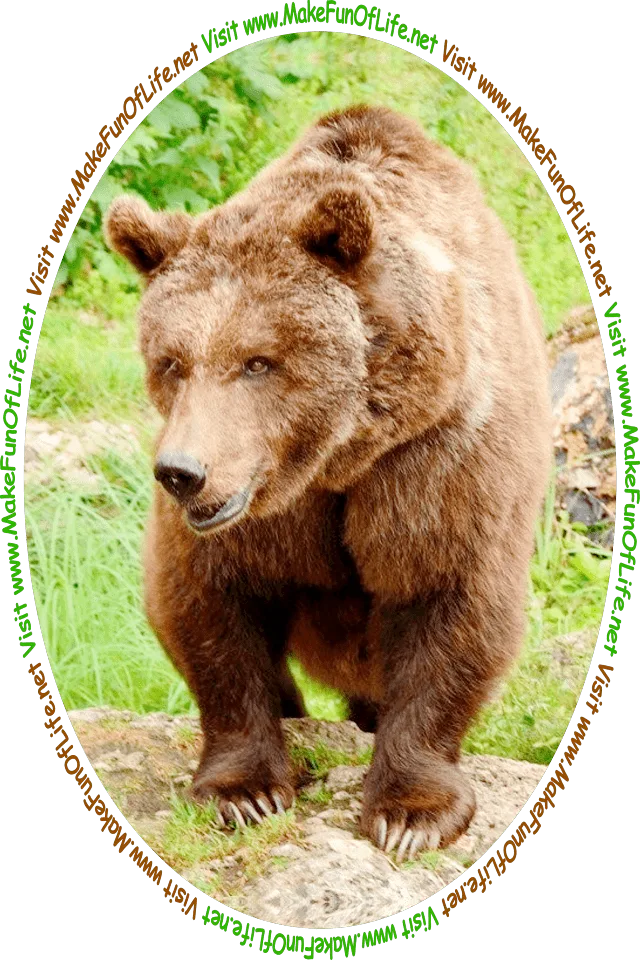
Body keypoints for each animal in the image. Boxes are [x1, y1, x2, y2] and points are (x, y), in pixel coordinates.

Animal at [105, 105, 551, 861]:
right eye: (171, 361)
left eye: (258, 361)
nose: (182, 472)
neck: (334, 458)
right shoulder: (255, 516)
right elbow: (208, 604)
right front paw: (246, 791)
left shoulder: (437, 456)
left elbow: (448, 597)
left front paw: (411, 812)